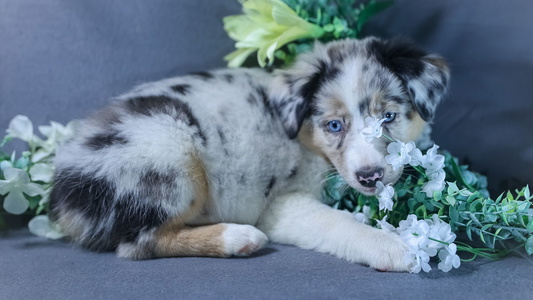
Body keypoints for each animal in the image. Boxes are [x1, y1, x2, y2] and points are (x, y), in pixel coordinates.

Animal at [51, 37, 448, 272]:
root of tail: (65, 189)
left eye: (388, 117)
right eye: (334, 125)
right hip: (171, 151)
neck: (305, 139)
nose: (370, 177)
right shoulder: (280, 205)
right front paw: (393, 247)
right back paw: (239, 239)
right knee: (138, 244)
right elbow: (338, 221)